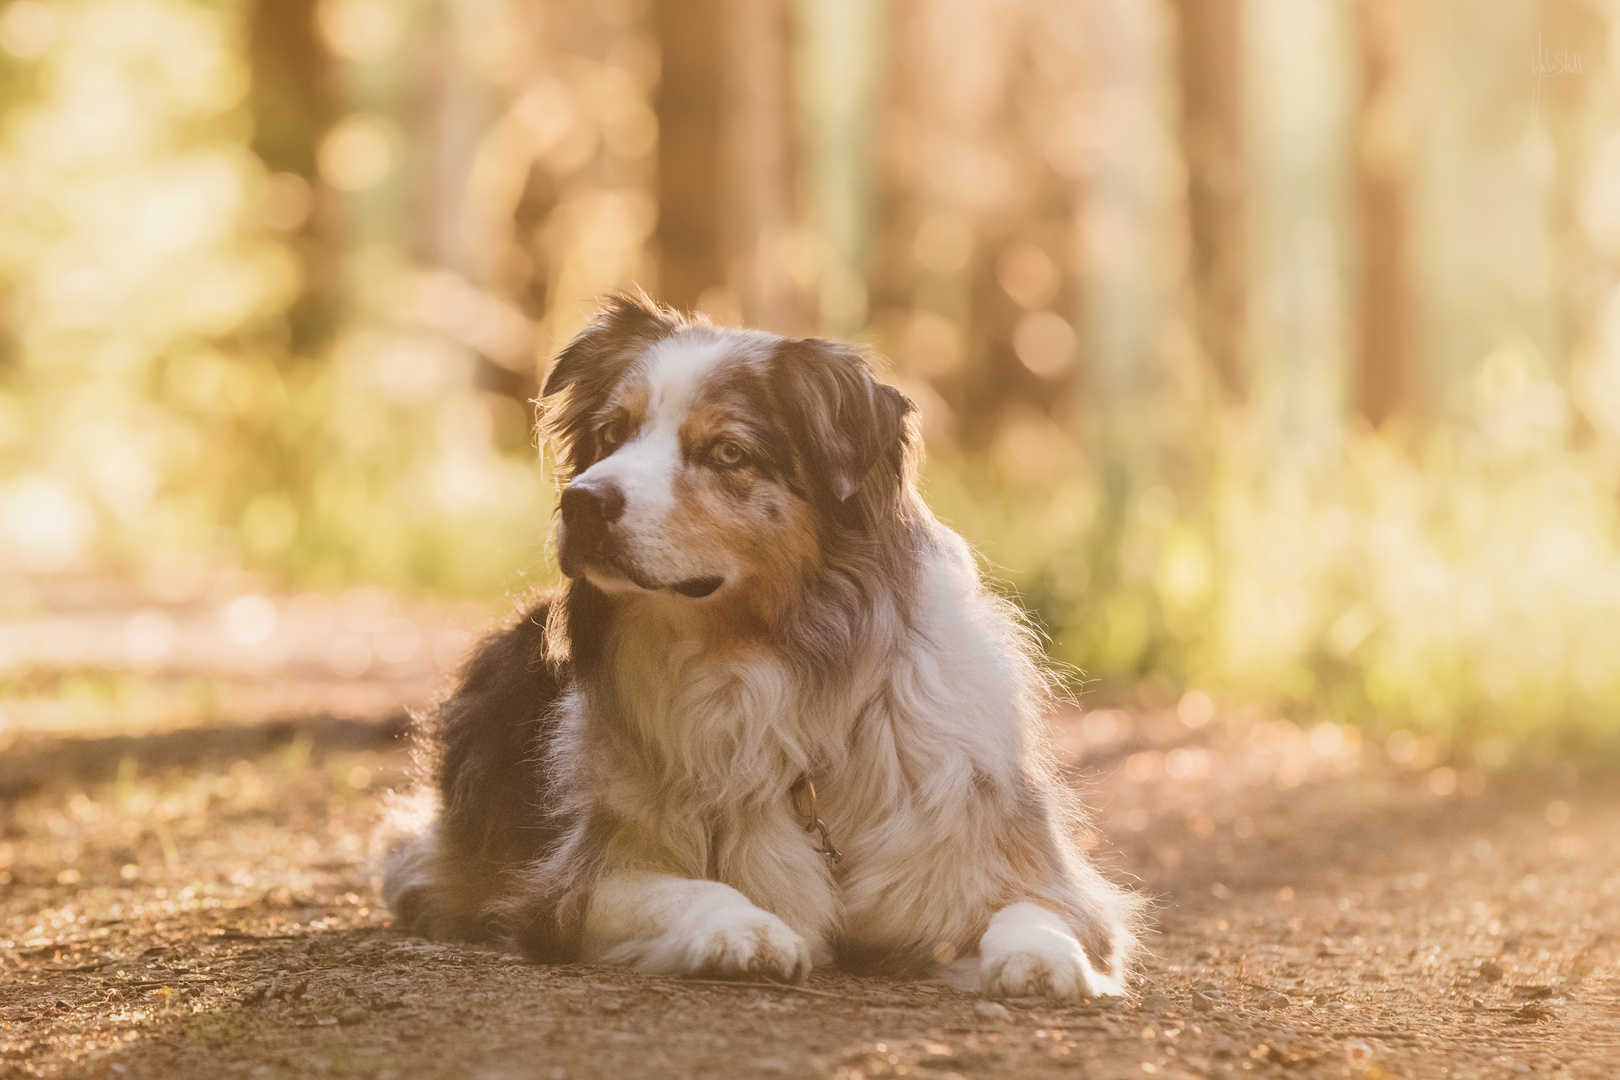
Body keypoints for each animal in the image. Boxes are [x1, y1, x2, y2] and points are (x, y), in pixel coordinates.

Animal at [382, 291, 1140, 1003]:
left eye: (728, 453)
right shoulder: (570, 885)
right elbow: (690, 888)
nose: (582, 503)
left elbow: (1037, 910)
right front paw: (746, 930)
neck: (768, 662)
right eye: (612, 432)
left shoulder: (1001, 858)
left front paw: (1045, 958)